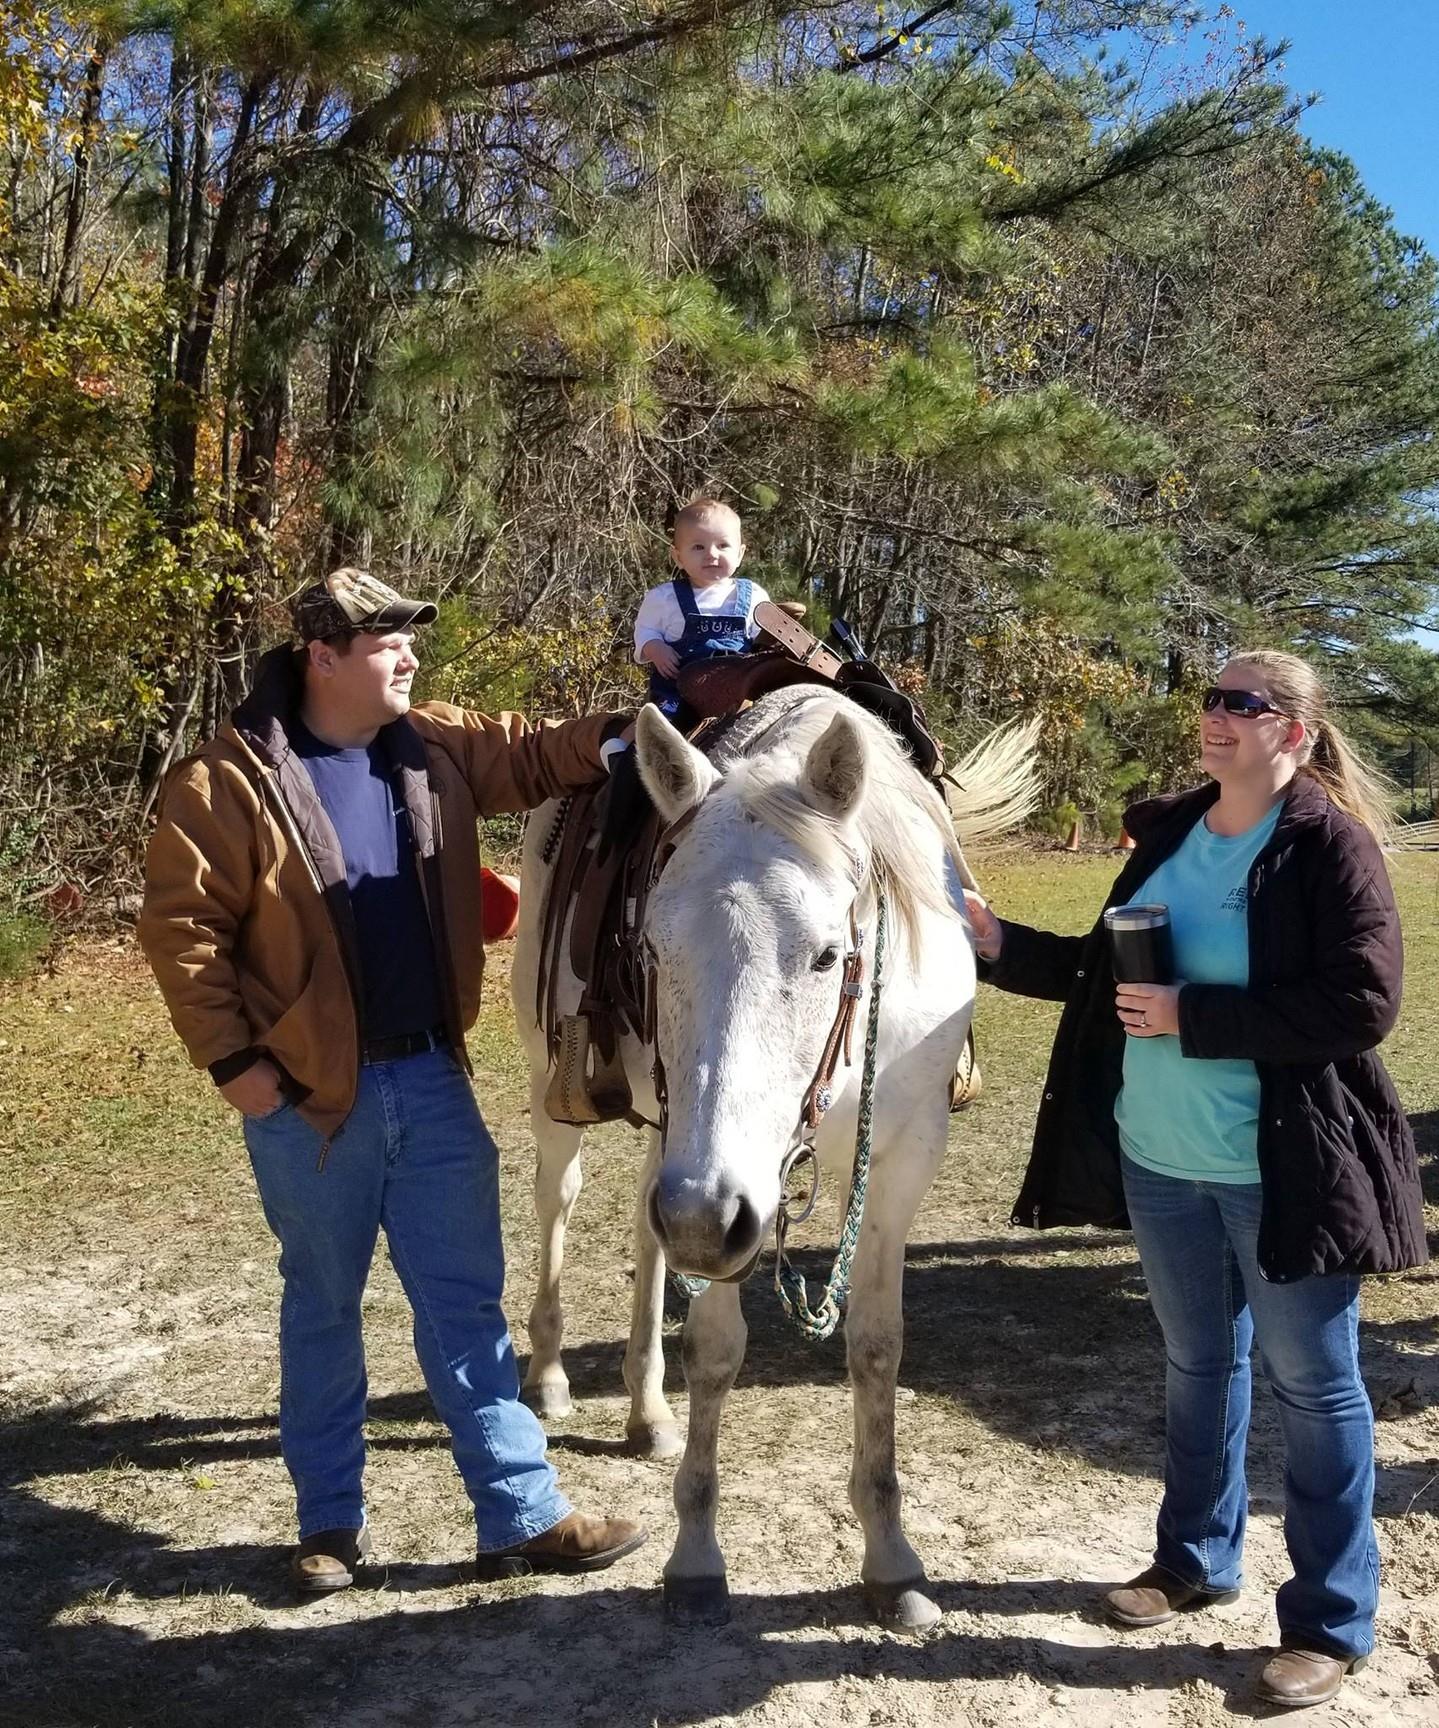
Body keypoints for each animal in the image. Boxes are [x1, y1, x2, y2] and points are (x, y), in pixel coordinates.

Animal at [510, 686, 1037, 1628]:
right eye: (651, 948)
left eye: (828, 954)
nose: (700, 1219)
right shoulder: (717, 1190)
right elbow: (716, 1348)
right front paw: (695, 1557)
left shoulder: (898, 1160)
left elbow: (875, 1345)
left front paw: (891, 1558)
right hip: (566, 1093)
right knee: (560, 1200)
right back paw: (551, 1374)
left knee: (646, 1230)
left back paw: (647, 1411)